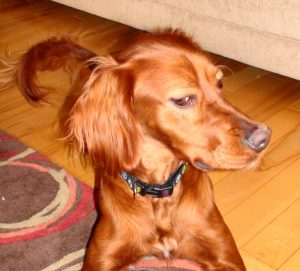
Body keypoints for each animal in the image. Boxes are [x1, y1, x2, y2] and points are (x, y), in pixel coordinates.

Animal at [4, 28, 272, 270]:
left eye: (220, 83)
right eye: (184, 100)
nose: (264, 137)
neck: (160, 190)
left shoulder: (225, 256)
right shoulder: (101, 259)